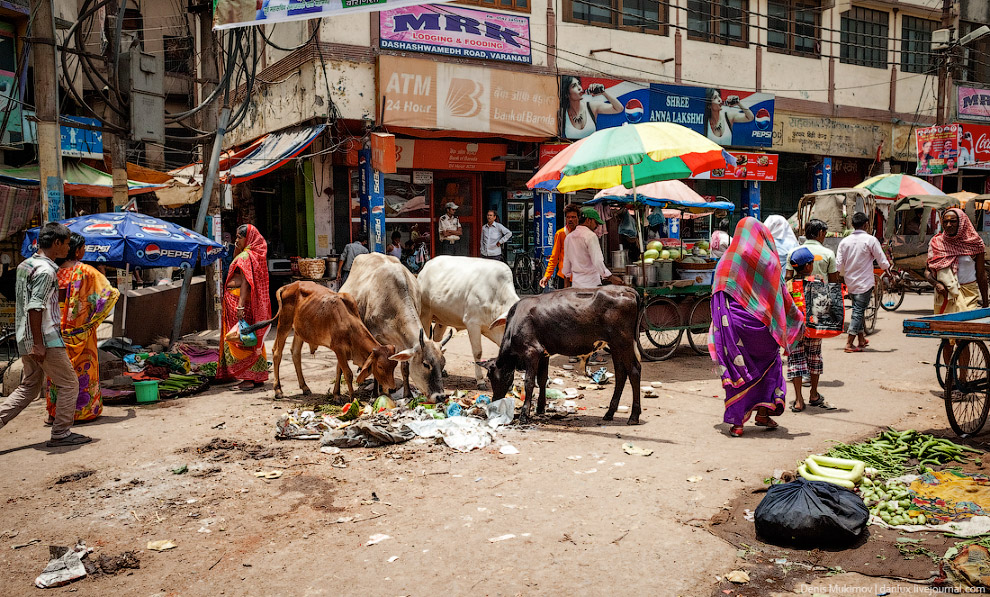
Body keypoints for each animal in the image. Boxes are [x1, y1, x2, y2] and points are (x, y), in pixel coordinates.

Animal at [250, 280, 402, 400]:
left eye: (394, 365)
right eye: (380, 366)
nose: (392, 388)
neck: (348, 321)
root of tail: (288, 286)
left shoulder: (341, 352)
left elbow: (339, 371)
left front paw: (336, 395)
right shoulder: (339, 349)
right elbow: (348, 373)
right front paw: (353, 398)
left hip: (299, 331)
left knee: (295, 353)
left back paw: (304, 387)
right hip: (284, 324)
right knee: (277, 353)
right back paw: (278, 390)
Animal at [418, 255, 524, 386]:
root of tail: (426, 266)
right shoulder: (473, 324)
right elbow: (477, 352)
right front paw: (480, 380)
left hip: (442, 318)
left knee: (437, 337)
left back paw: (442, 371)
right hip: (425, 315)